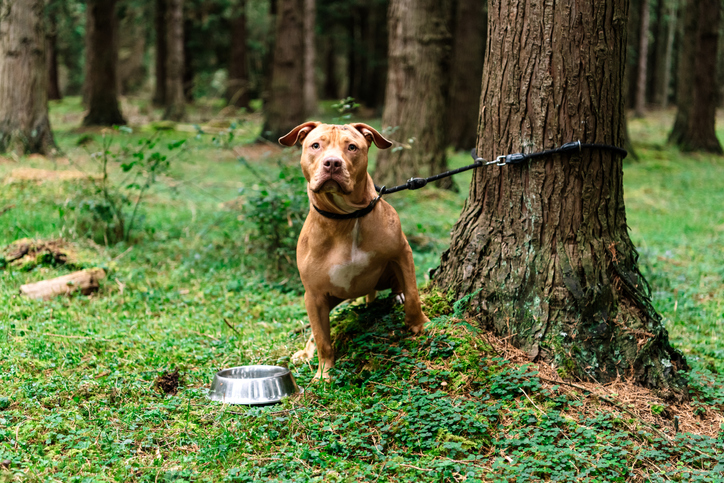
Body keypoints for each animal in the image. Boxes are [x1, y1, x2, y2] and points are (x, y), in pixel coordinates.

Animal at [280, 123, 430, 380]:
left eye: (352, 147)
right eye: (315, 145)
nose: (332, 163)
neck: (346, 218)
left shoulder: (401, 252)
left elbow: (412, 294)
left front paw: (419, 324)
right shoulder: (314, 295)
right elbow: (322, 338)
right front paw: (324, 373)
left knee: (398, 286)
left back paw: (397, 294)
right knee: (315, 333)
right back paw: (306, 353)